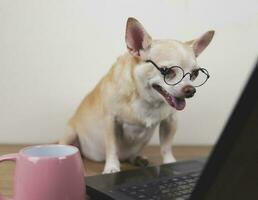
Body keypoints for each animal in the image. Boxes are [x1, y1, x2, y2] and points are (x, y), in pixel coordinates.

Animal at [59, 17, 215, 173]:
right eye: (166, 71)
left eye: (195, 73)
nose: (190, 90)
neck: (147, 100)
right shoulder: (111, 121)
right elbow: (112, 147)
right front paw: (112, 167)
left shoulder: (170, 121)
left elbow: (166, 146)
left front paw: (170, 162)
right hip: (70, 134)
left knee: (132, 155)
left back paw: (138, 158)